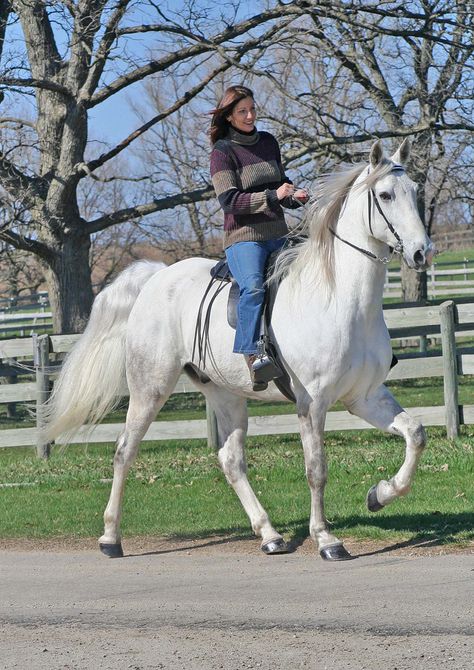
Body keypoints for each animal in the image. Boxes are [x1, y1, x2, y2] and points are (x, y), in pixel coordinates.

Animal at [43, 140, 434, 560]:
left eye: (415, 191)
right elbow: (316, 469)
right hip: (150, 389)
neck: (341, 299)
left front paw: (379, 494)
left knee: (230, 461)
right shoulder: (312, 403)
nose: (422, 253)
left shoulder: (364, 396)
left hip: (225, 393)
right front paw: (327, 539)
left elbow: (415, 434)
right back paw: (110, 538)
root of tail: (156, 278)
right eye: (385, 195)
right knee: (124, 451)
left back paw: (270, 535)